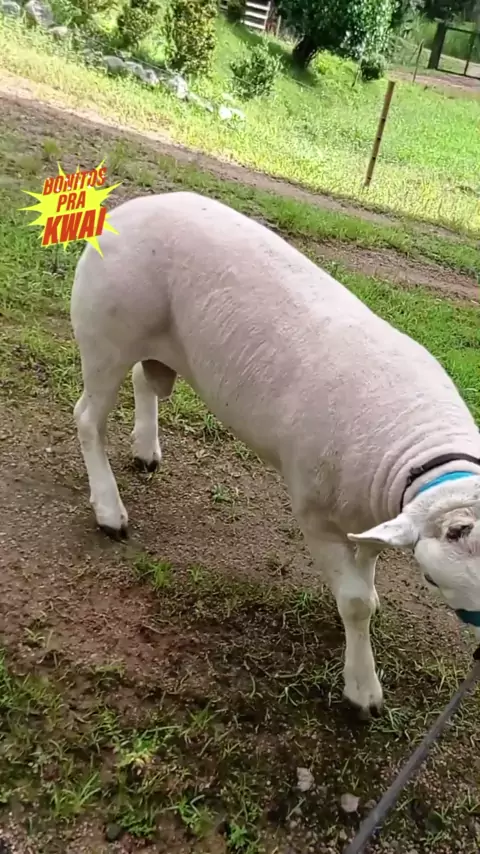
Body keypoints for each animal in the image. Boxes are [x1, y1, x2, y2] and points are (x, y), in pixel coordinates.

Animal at [70, 191, 480, 717]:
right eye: (457, 534)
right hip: (107, 334)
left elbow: (366, 580)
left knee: (147, 377)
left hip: (157, 343)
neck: (420, 446)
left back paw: (146, 449)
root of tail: (132, 205)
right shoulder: (315, 512)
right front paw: (363, 690)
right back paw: (109, 510)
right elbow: (354, 602)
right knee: (88, 418)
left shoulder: (371, 512)